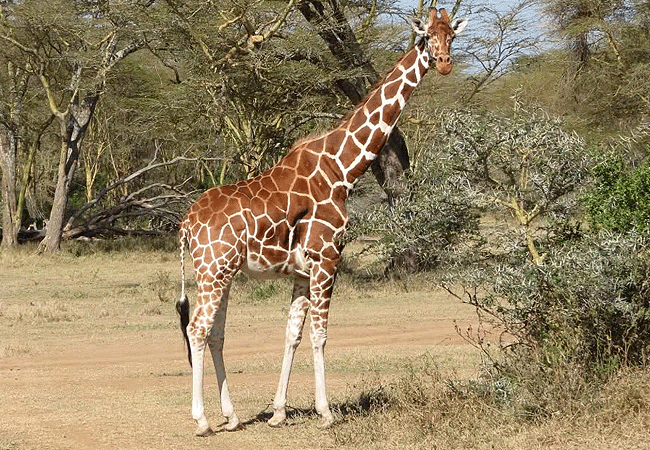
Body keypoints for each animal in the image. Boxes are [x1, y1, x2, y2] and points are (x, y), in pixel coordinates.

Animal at [176, 8, 468, 436]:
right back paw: (201, 420)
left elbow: (292, 333)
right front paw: (326, 412)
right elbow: (320, 334)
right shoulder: (327, 257)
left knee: (215, 333)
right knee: (197, 329)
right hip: (214, 268)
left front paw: (279, 412)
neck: (343, 167)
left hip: (219, 271)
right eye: (427, 35)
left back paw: (230, 417)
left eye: (452, 36)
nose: (445, 63)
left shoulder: (301, 269)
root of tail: (186, 224)